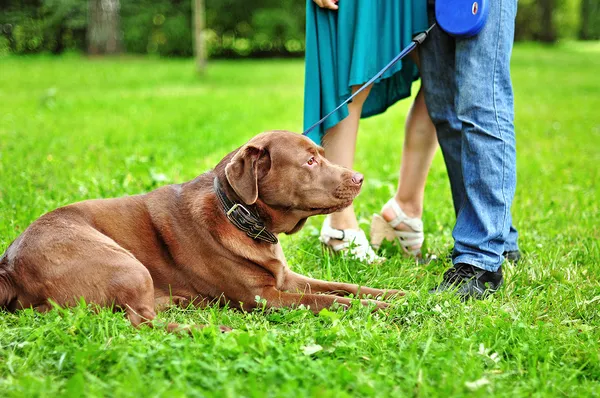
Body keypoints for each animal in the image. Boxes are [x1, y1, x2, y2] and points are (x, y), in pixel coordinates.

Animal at [1, 131, 404, 330]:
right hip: (125, 263)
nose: (359, 178)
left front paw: (398, 294)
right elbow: (329, 300)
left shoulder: (285, 278)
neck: (240, 216)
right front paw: (381, 308)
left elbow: (345, 286)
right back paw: (215, 328)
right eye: (308, 161)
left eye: (321, 154)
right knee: (140, 322)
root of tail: (9, 268)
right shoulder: (265, 297)